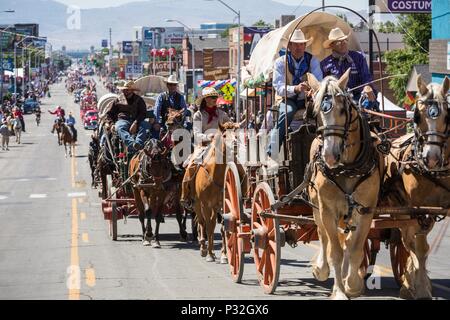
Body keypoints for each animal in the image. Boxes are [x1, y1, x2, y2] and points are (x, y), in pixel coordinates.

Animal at [306, 69, 384, 298]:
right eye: (316, 112)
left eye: (343, 109)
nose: (330, 155)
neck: (347, 167)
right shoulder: (327, 210)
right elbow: (335, 252)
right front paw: (339, 291)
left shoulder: (366, 210)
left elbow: (355, 249)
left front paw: (353, 284)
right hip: (317, 207)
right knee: (323, 236)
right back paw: (321, 269)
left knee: (348, 242)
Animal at [382, 75, 448, 300]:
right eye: (417, 117)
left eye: (447, 116)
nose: (432, 158)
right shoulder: (417, 209)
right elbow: (419, 248)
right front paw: (420, 288)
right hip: (401, 210)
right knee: (408, 241)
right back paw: (410, 283)